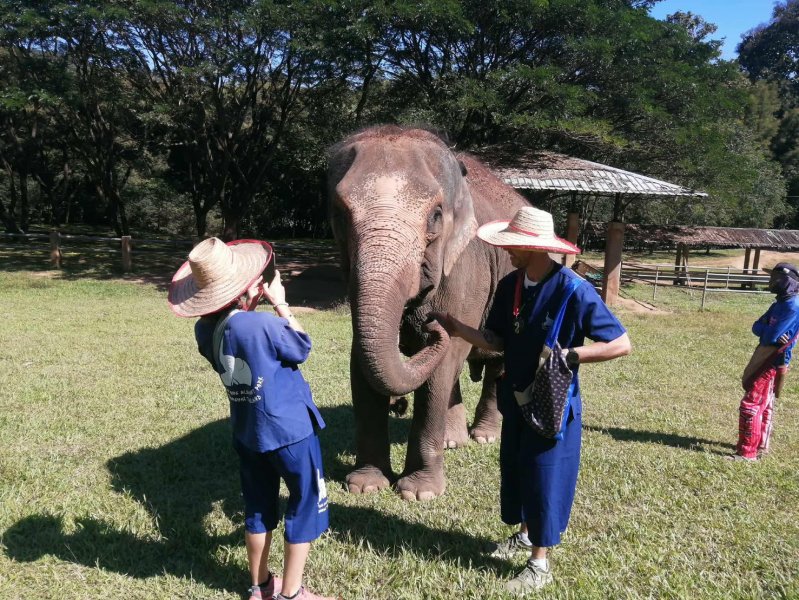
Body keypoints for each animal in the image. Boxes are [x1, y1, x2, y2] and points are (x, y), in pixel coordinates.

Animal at [327, 125, 529, 500]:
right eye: (340, 214)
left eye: (435, 215)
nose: (434, 326)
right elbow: (360, 360)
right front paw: (366, 486)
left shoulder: (466, 272)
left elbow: (442, 367)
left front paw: (419, 493)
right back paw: (452, 441)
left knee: (496, 367)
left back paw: (484, 437)